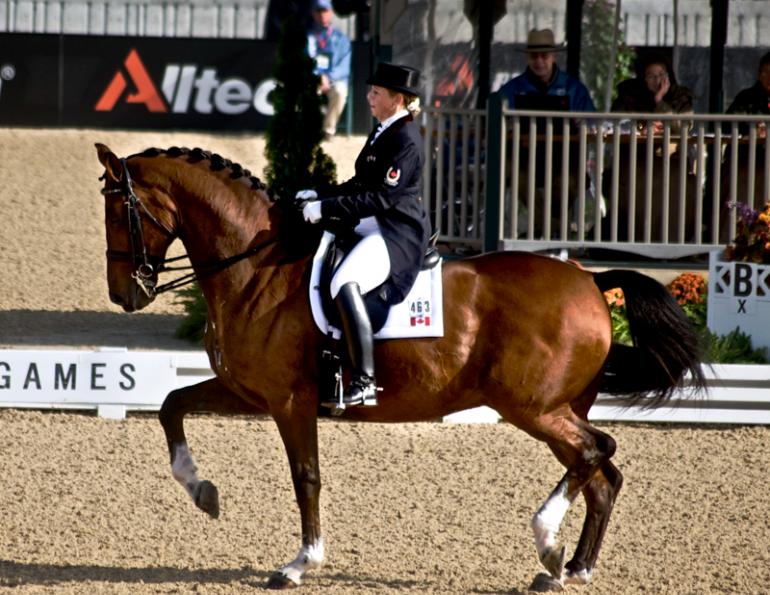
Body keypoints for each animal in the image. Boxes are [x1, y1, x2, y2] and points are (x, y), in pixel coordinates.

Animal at [95, 143, 705, 591]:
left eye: (120, 213)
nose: (126, 294)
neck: (255, 264)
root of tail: (590, 281)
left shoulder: (290, 402)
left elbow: (306, 477)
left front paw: (300, 563)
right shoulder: (246, 391)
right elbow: (171, 406)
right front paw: (203, 491)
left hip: (533, 408)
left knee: (597, 452)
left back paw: (549, 544)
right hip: (557, 409)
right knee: (600, 474)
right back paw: (572, 568)